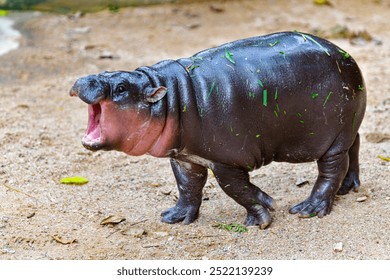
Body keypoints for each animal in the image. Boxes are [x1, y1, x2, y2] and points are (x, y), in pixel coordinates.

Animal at [69, 31, 366, 229]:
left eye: (121, 87)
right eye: (105, 71)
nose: (83, 80)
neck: (171, 97)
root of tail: (347, 57)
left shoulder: (227, 162)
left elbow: (237, 189)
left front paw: (262, 215)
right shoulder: (184, 157)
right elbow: (187, 186)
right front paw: (175, 217)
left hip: (333, 138)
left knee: (331, 169)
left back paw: (308, 209)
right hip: (348, 128)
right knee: (355, 147)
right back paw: (347, 188)